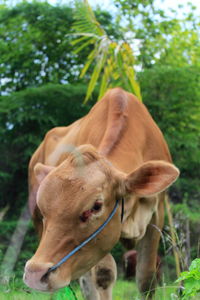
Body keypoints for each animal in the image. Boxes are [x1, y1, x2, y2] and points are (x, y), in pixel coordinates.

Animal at [23, 88, 180, 298]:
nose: (35, 273)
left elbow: (146, 278)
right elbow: (104, 275)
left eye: (96, 206)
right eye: (44, 209)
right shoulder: (99, 242)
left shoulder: (157, 214)